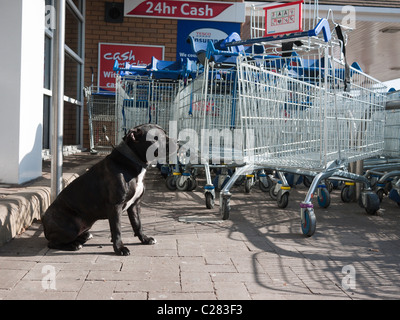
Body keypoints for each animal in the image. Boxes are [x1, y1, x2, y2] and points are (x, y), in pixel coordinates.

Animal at [40, 124, 166, 256]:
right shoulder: (115, 206)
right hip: (71, 227)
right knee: (52, 243)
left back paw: (84, 237)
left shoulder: (134, 205)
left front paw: (145, 239)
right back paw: (73, 245)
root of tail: (44, 220)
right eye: (156, 138)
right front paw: (120, 248)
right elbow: (117, 229)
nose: (172, 141)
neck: (131, 161)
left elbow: (137, 224)